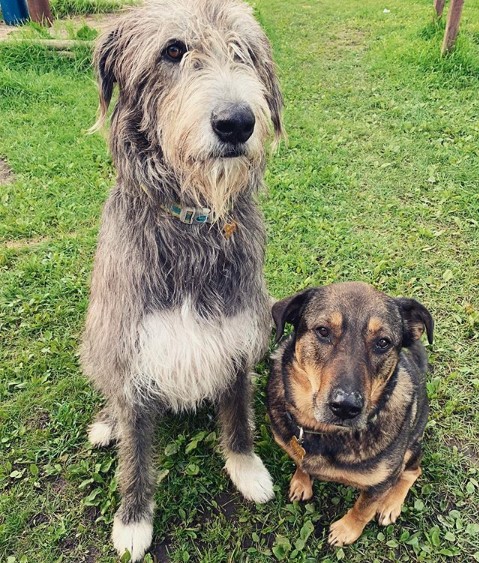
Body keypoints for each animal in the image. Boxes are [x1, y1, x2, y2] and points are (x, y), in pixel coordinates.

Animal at [81, 0, 284, 560]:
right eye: (173, 51)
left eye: (243, 53)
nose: (237, 122)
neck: (192, 225)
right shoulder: (129, 347)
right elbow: (136, 449)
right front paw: (133, 520)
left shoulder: (236, 337)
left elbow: (236, 414)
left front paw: (246, 468)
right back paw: (105, 424)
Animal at [268, 284, 434, 548]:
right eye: (323, 331)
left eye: (383, 342)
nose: (346, 407)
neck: (324, 432)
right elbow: (301, 462)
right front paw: (301, 481)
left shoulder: (379, 483)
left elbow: (363, 508)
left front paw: (347, 529)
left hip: (412, 447)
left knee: (412, 472)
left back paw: (391, 504)